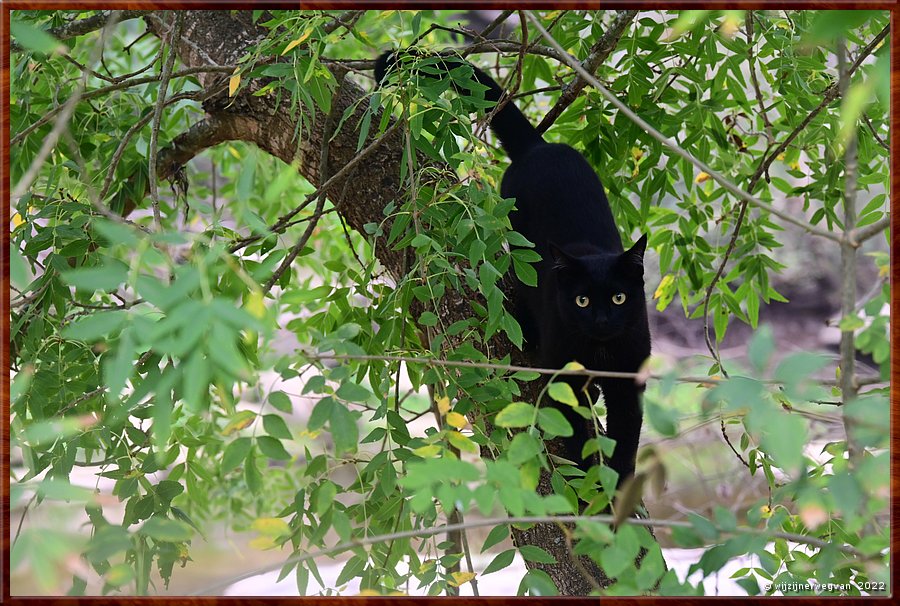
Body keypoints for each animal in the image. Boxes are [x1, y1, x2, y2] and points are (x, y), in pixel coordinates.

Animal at [376, 53, 652, 490]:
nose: (602, 319)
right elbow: (573, 430)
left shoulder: (630, 376)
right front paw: (587, 483)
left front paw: (618, 483)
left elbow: (627, 434)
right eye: (582, 300)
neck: (600, 350)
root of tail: (538, 146)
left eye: (619, 297)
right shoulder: (562, 375)